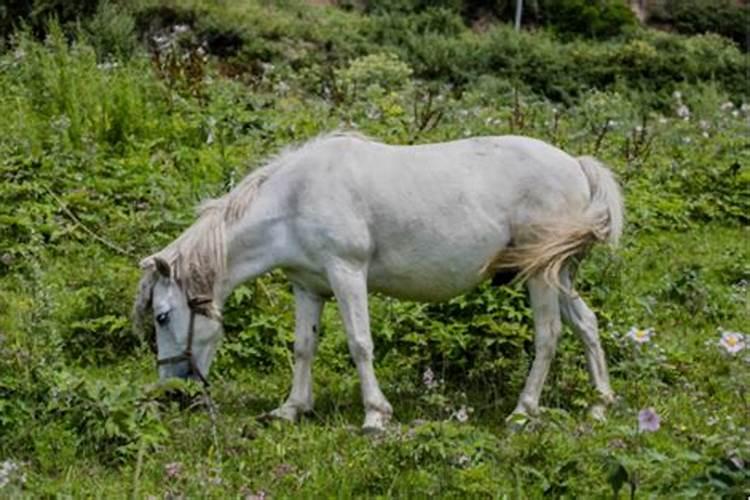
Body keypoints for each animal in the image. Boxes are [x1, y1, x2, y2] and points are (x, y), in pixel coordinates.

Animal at [134, 131, 624, 432]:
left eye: (162, 316)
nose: (171, 390)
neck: (295, 198)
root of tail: (577, 165)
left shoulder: (347, 273)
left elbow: (360, 344)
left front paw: (375, 416)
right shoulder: (307, 287)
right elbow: (304, 347)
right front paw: (292, 408)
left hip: (539, 275)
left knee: (548, 335)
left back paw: (523, 411)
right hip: (559, 273)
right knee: (587, 324)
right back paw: (600, 404)